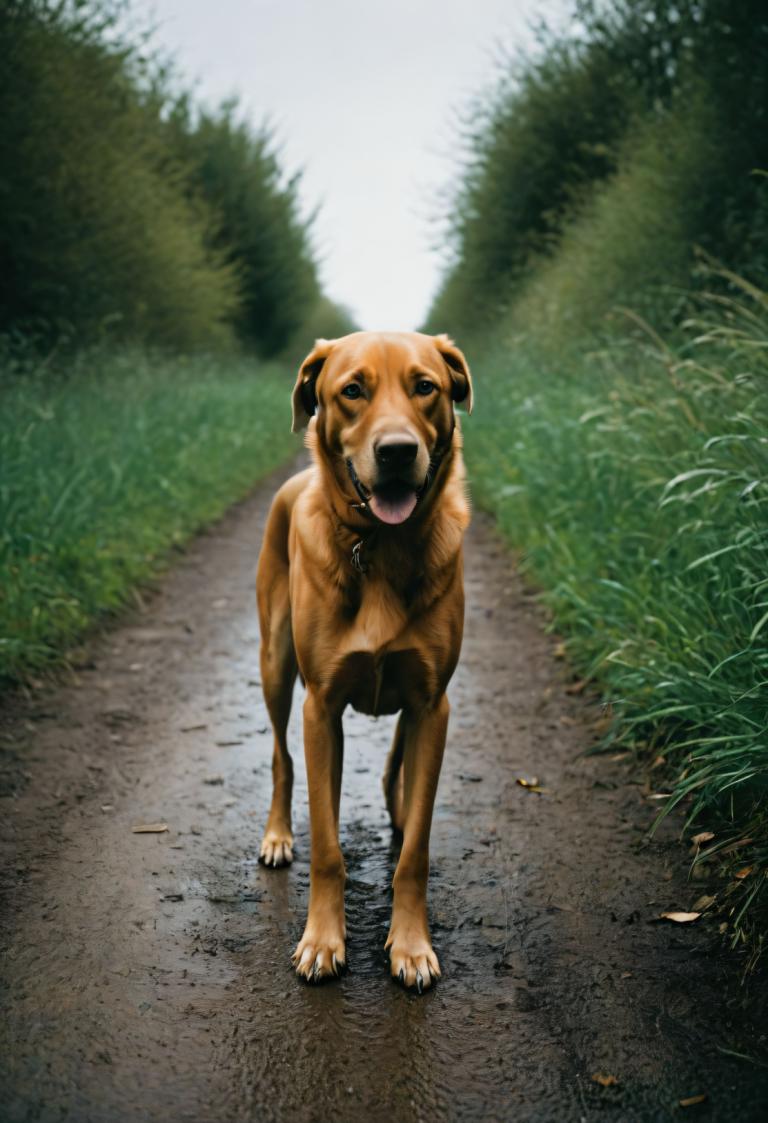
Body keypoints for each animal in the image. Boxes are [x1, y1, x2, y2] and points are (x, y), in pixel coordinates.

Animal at [254, 327, 471, 988]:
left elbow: (416, 850)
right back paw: (277, 836)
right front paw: (322, 941)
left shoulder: (433, 703)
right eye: (352, 391)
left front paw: (411, 946)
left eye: (425, 386)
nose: (398, 451)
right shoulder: (321, 708)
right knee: (281, 759)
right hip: (275, 666)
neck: (382, 545)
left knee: (396, 764)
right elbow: (327, 847)